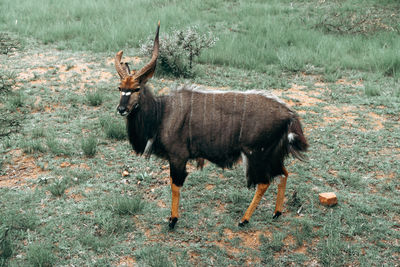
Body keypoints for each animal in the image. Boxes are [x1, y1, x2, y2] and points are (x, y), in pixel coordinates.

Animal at [114, 22, 308, 229]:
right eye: (120, 88)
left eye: (136, 88)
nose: (121, 109)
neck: (163, 112)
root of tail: (289, 114)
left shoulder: (178, 156)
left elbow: (175, 185)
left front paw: (173, 220)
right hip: (272, 155)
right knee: (283, 173)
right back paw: (276, 213)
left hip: (257, 155)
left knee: (264, 182)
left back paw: (244, 220)